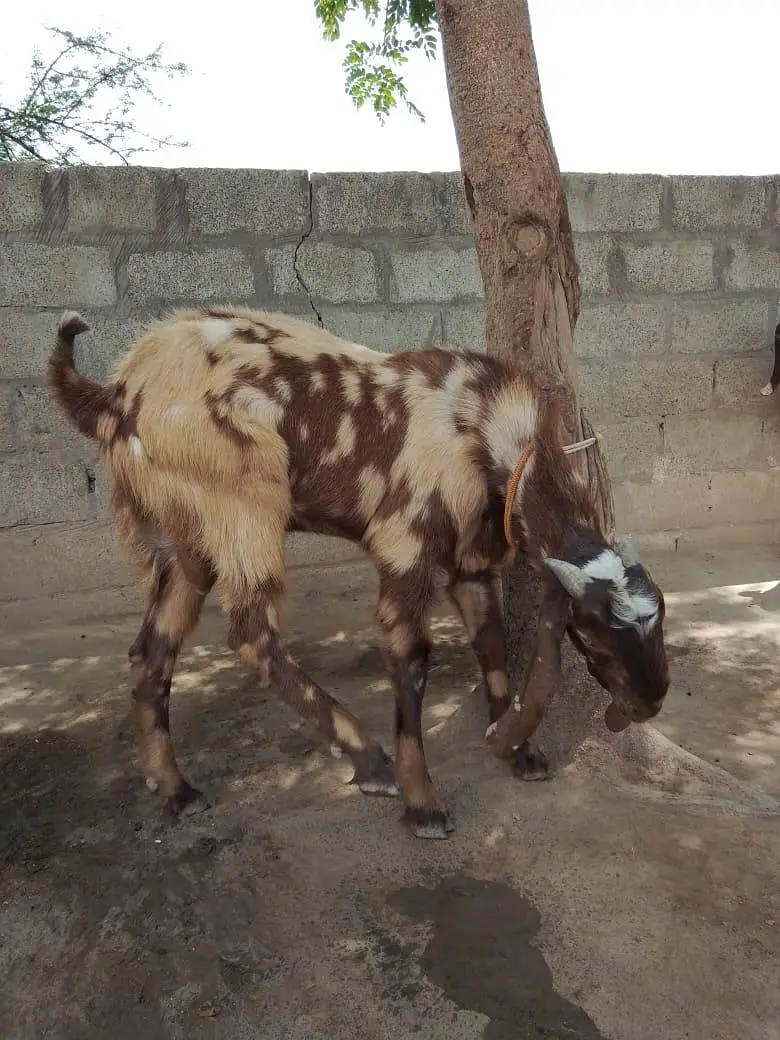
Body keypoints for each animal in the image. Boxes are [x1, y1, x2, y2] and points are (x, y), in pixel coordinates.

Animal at [47, 305, 670, 840]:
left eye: (657, 622)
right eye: (593, 629)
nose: (651, 701)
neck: (481, 434)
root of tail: (115, 394)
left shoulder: (469, 566)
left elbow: (491, 647)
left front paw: (521, 752)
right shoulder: (403, 551)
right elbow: (411, 663)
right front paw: (424, 803)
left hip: (190, 540)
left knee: (152, 651)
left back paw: (176, 790)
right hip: (243, 508)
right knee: (252, 634)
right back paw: (371, 761)